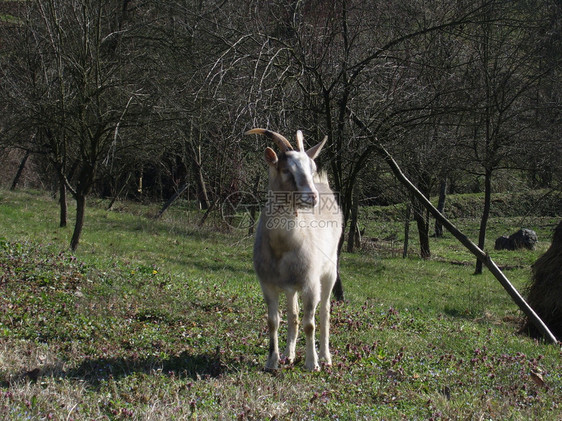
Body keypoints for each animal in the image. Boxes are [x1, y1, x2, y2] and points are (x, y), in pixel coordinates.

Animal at [246, 128, 342, 370]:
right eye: (286, 169)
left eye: (312, 168)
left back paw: (325, 357)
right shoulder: (268, 284)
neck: (282, 247)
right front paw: (272, 361)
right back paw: (288, 355)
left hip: (329, 271)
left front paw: (312, 363)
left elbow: (310, 324)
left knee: (325, 312)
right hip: (290, 286)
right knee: (293, 315)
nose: (312, 197)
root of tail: (324, 185)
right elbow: (273, 321)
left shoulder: (310, 283)